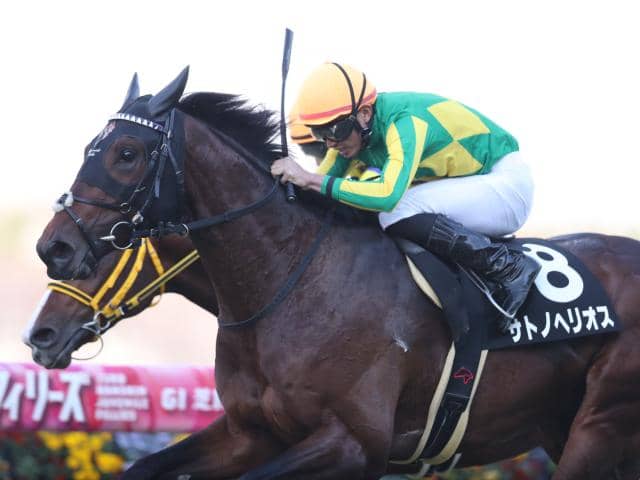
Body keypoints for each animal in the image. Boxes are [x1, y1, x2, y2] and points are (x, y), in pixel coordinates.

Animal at [35, 68, 640, 479]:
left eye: (127, 153)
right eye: (89, 148)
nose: (53, 248)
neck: (288, 281)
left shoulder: (355, 443)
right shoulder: (250, 433)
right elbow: (144, 467)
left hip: (599, 425)